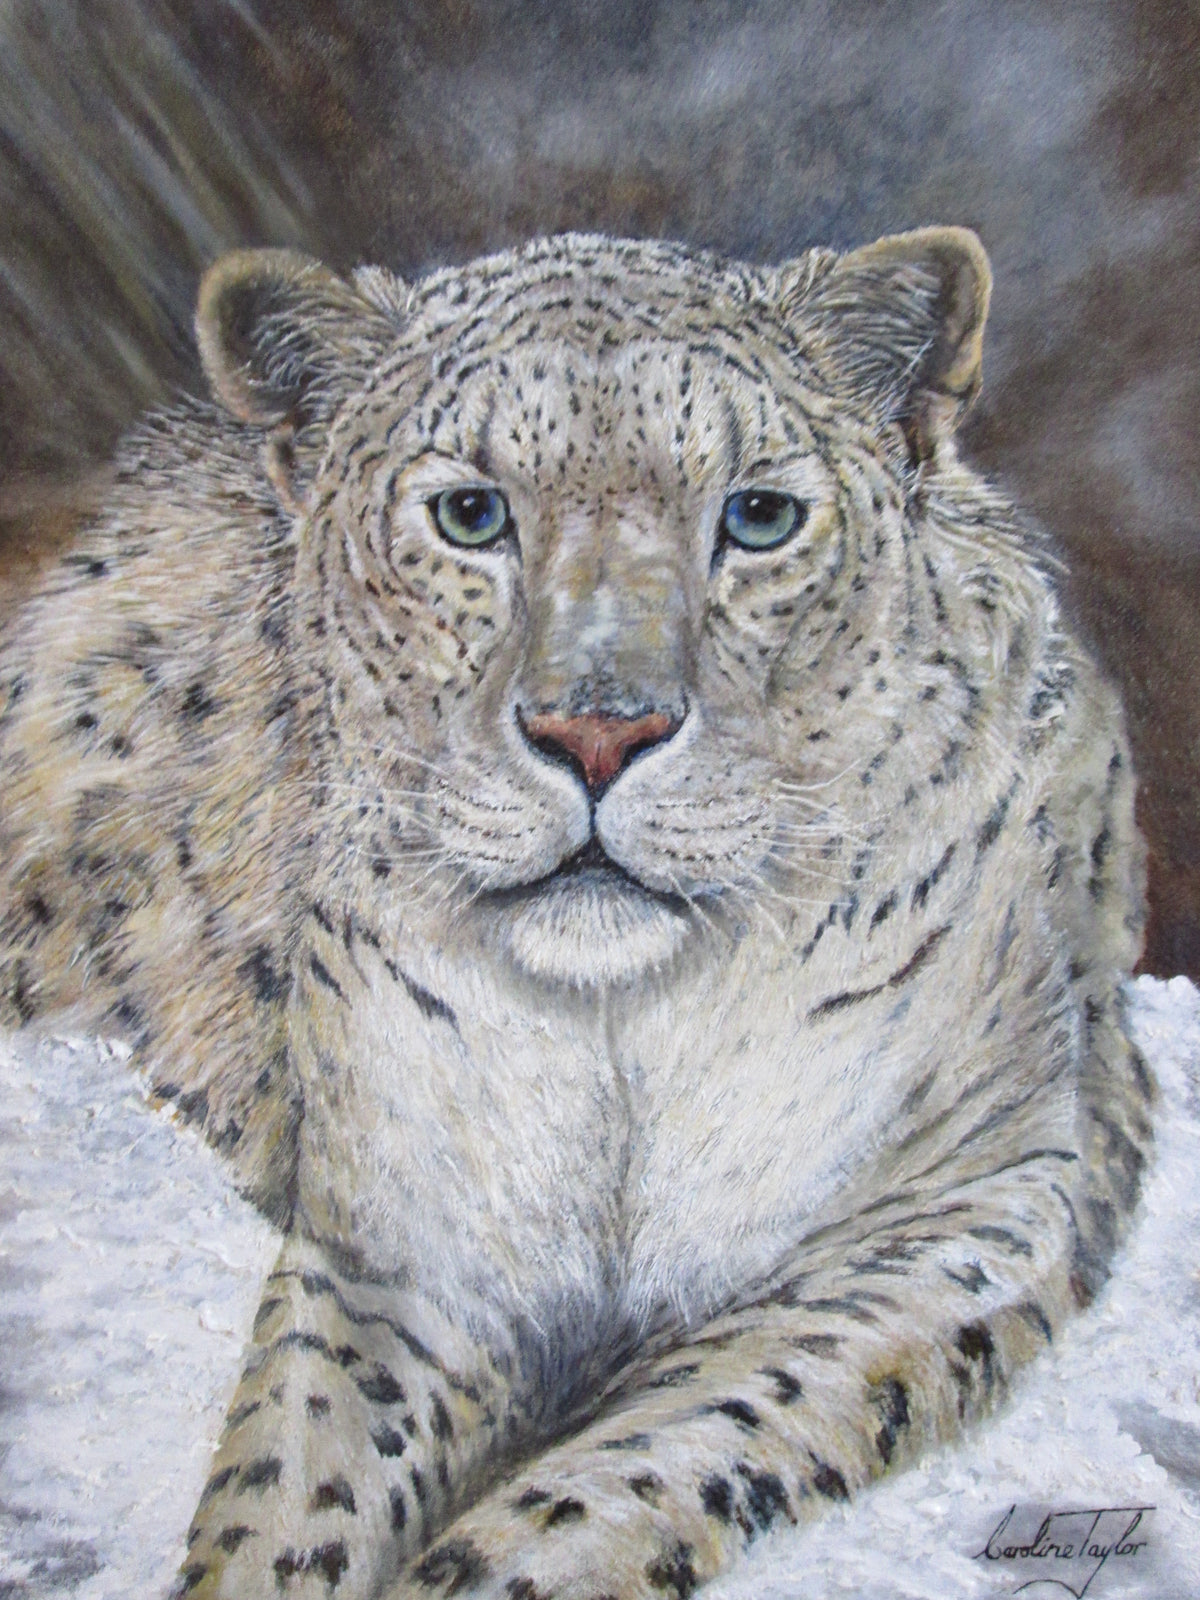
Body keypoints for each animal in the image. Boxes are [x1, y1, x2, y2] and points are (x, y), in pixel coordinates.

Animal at [0, 226, 1152, 1599]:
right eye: (469, 515)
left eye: (759, 517)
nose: (597, 732)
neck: (625, 1036)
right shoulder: (403, 1241)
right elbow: (290, 1477)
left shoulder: (968, 1199)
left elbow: (641, 1461)